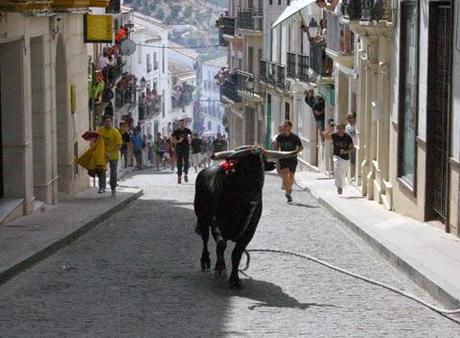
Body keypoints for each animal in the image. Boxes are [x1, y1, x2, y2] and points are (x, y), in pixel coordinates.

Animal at [192, 145, 296, 288]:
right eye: (244, 170)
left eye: (261, 169)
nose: (254, 198)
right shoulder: (216, 223)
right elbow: (221, 245)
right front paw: (220, 269)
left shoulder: (249, 230)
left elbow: (237, 254)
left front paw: (234, 279)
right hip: (202, 218)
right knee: (205, 238)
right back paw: (205, 260)